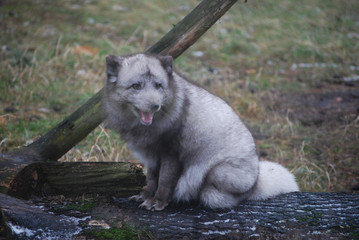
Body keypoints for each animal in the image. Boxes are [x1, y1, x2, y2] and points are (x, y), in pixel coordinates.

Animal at [102, 54, 300, 210]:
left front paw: (158, 202)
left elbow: (164, 181)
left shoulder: (171, 153)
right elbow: (151, 179)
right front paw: (145, 196)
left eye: (158, 86)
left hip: (218, 174)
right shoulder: (151, 155)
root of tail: (257, 179)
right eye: (136, 86)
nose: (155, 105)